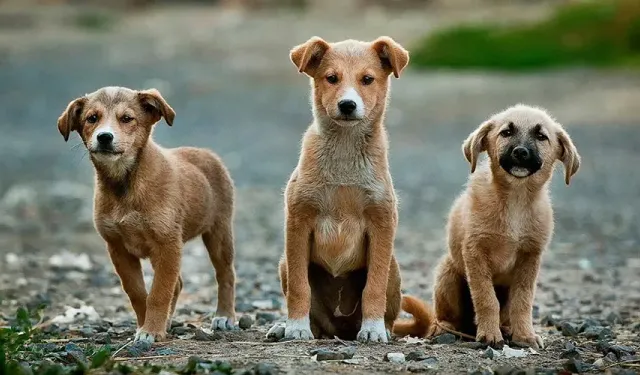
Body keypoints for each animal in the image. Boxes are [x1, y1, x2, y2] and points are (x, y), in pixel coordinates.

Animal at [57, 86, 238, 344]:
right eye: (92, 118)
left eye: (127, 118)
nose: (104, 137)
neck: (125, 185)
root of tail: (206, 153)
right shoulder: (118, 248)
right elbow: (138, 293)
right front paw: (147, 326)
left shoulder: (167, 244)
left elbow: (159, 292)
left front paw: (151, 330)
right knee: (178, 284)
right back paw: (169, 321)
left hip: (219, 233)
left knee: (226, 275)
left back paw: (224, 316)